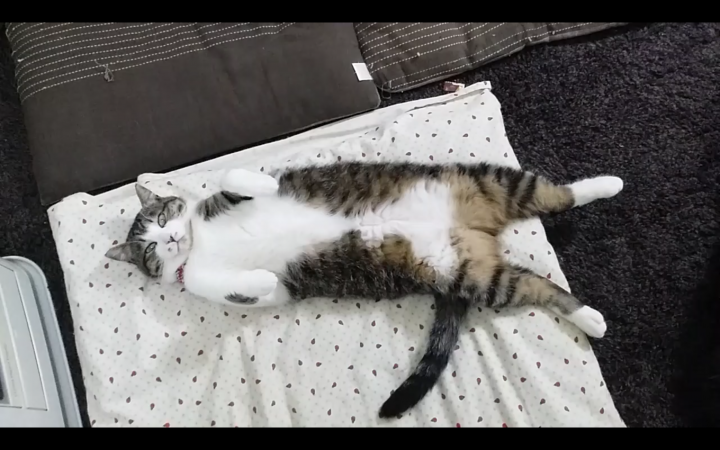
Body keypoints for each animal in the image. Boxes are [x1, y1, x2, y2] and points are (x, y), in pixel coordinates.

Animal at [105, 161, 623, 418]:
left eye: (163, 216)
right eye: (149, 248)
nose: (170, 241)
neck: (201, 243)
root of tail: (477, 227)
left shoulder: (220, 200)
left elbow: (232, 177)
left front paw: (262, 184)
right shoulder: (264, 292)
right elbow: (225, 284)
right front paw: (255, 278)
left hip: (484, 181)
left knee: (555, 194)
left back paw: (607, 183)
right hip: (473, 274)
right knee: (532, 283)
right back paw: (589, 316)